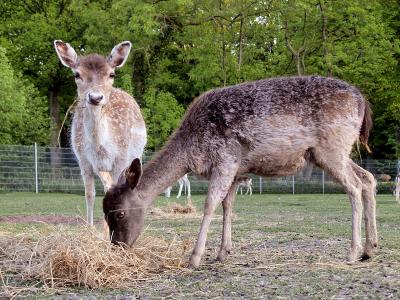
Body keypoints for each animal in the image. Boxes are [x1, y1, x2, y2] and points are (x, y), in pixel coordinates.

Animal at [54, 40, 145, 225]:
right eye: (77, 74)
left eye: (111, 74)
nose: (95, 97)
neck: (101, 146)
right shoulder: (84, 160)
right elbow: (90, 194)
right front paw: (90, 229)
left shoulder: (121, 158)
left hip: (136, 155)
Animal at [103, 75, 378, 268]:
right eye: (105, 213)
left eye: (120, 213)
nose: (117, 246)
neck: (192, 150)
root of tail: (362, 101)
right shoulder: (236, 172)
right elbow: (228, 205)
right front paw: (222, 253)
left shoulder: (225, 160)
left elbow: (210, 204)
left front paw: (195, 257)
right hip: (332, 153)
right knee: (368, 178)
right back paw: (370, 248)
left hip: (332, 148)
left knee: (354, 186)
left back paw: (352, 252)